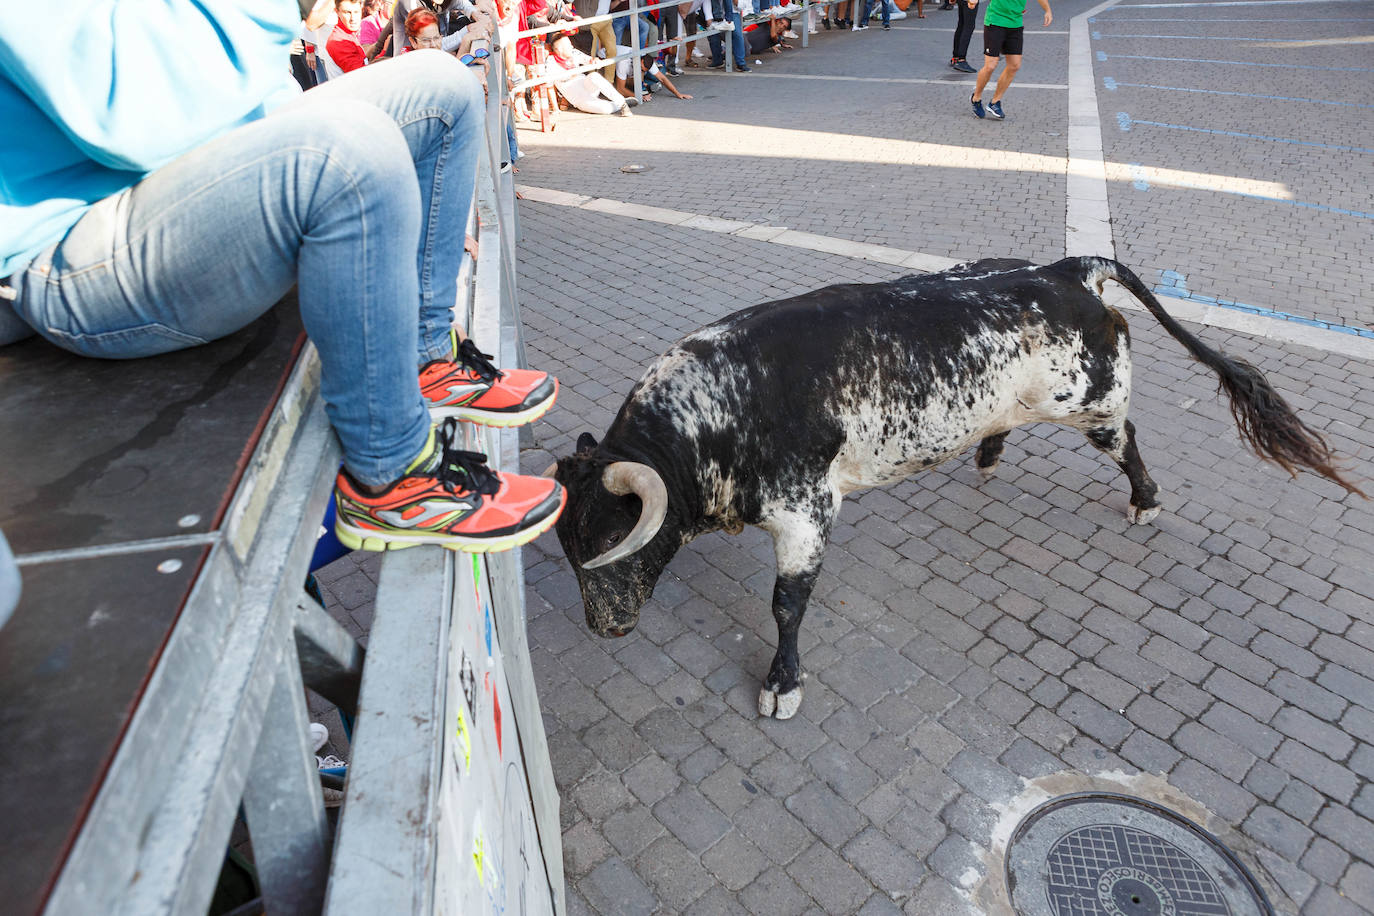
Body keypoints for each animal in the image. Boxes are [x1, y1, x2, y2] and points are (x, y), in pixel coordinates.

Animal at [549, 254, 1363, 719]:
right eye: (569, 546)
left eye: (615, 539)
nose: (604, 628)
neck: (722, 407)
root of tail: (1069, 269)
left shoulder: (807, 514)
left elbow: (785, 605)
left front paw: (783, 685)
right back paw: (990, 451)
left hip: (1090, 403)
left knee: (1126, 438)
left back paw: (1144, 499)